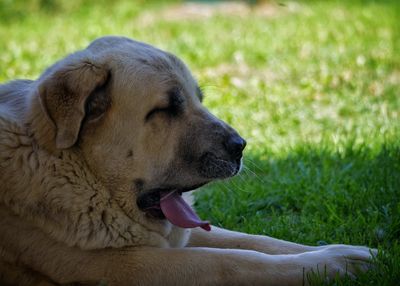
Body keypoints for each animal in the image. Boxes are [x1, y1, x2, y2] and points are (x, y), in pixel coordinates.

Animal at [0, 36, 376, 284]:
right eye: (167, 108)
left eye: (199, 99)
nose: (241, 146)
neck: (75, 167)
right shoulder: (120, 266)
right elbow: (234, 262)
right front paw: (334, 265)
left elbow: (253, 241)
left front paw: (348, 252)